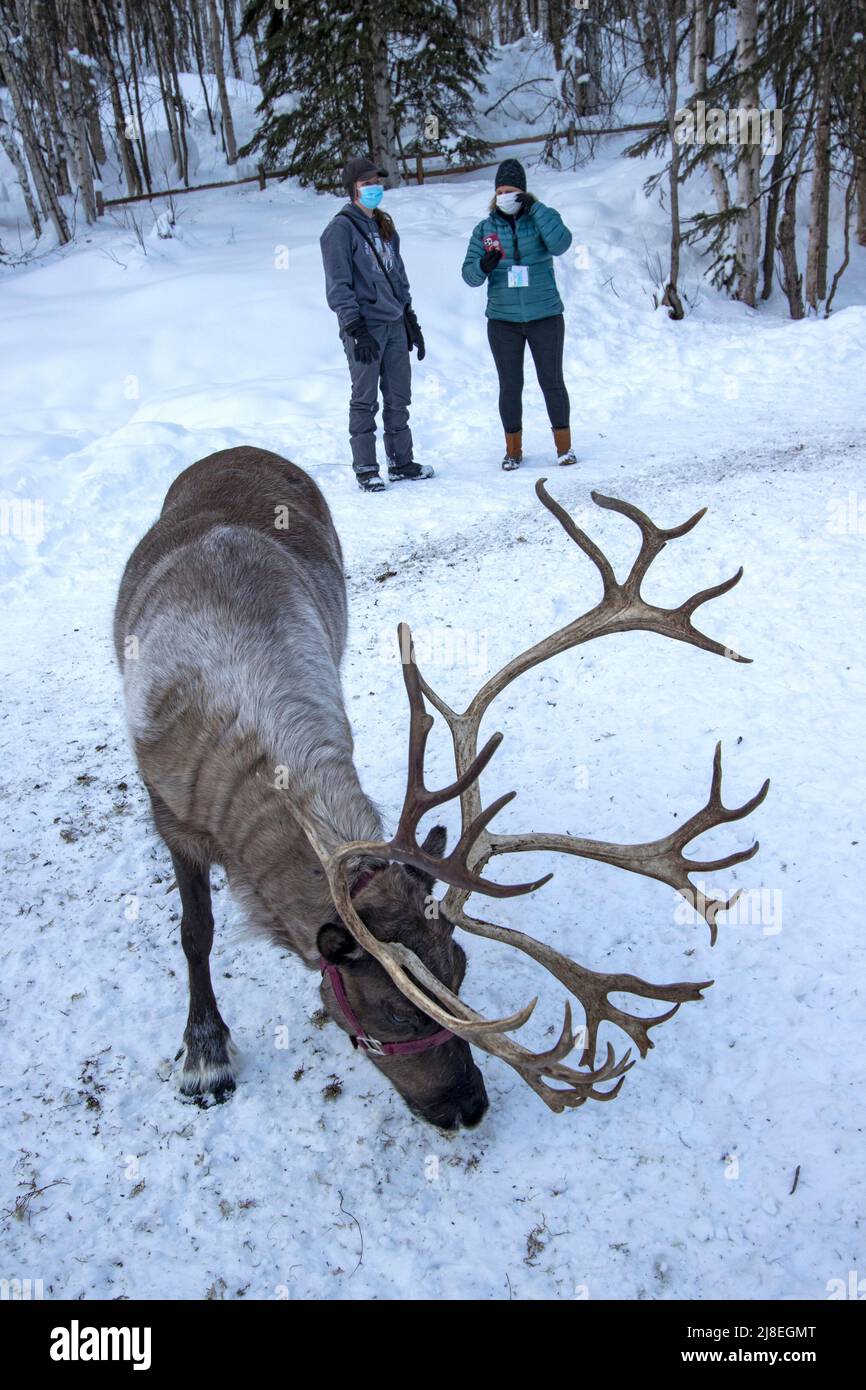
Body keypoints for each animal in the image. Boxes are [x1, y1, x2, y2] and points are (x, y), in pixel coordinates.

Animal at [114, 445, 768, 1128]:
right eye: (401, 1012)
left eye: (461, 971)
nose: (470, 1107)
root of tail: (240, 449)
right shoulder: (170, 812)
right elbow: (195, 935)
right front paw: (204, 1057)